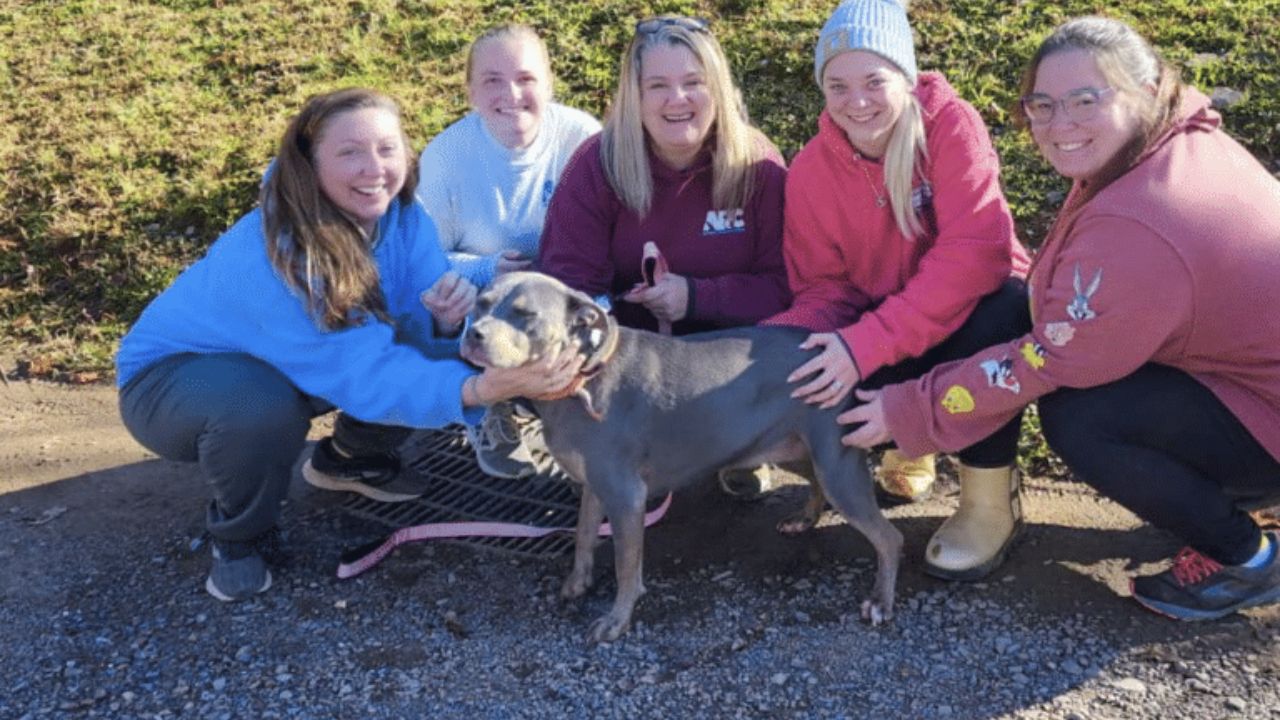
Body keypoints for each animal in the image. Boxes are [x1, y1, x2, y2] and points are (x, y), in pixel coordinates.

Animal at [460, 271, 901, 640]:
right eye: (480, 304)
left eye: (525, 314)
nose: (473, 335)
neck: (582, 380)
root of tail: (835, 350)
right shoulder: (594, 486)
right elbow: (584, 535)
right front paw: (577, 583)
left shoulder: (626, 496)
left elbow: (626, 566)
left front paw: (617, 621)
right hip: (792, 449)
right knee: (816, 486)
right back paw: (804, 518)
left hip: (835, 464)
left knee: (889, 538)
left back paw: (881, 601)